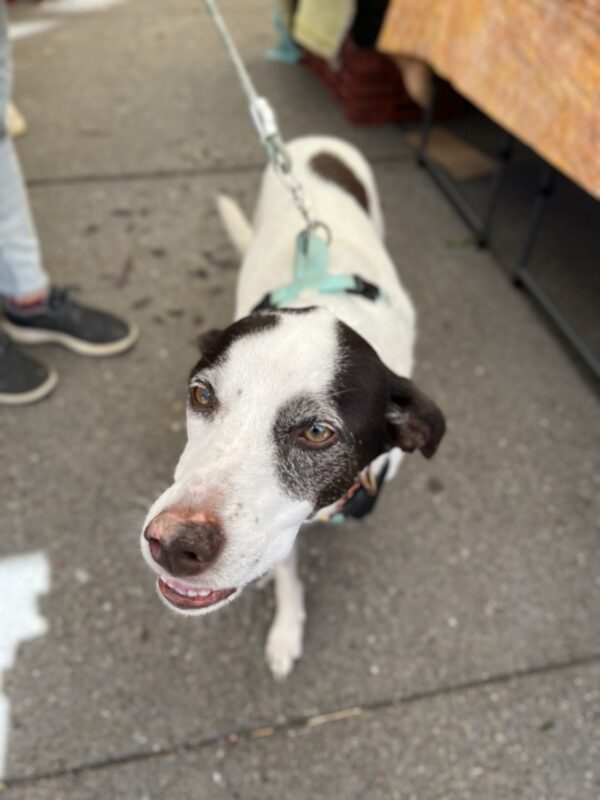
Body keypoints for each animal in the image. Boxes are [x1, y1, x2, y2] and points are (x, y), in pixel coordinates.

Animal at [141, 138, 446, 680]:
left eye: (318, 432)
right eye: (202, 395)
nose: (172, 543)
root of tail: (318, 141)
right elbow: (285, 572)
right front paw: (285, 628)